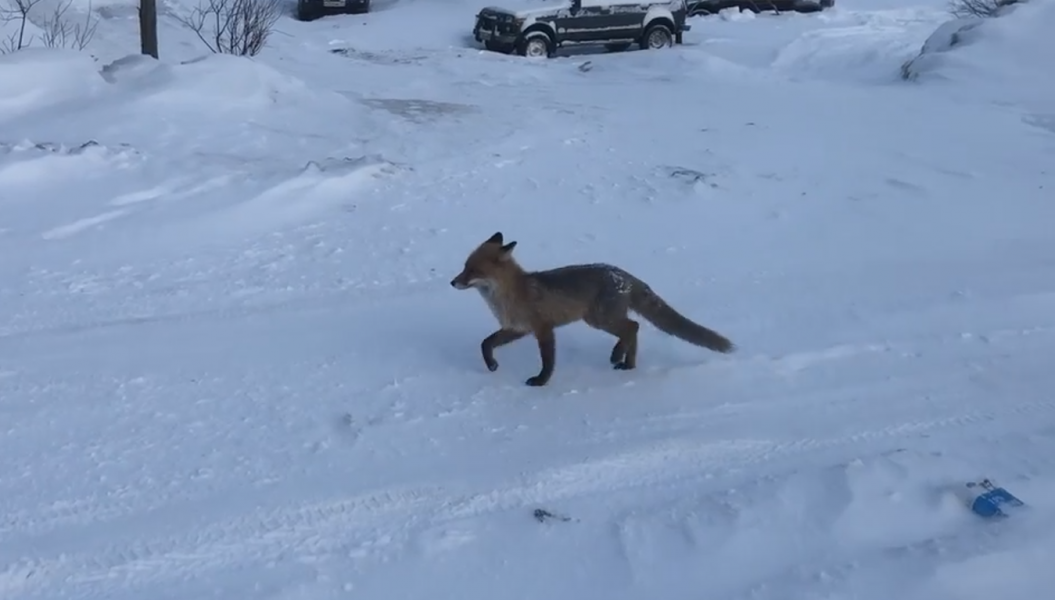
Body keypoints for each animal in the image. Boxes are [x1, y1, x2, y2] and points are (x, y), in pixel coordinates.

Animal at [449, 231, 736, 387]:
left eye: (473, 271)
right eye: (464, 267)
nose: (452, 282)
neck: (513, 294)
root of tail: (625, 275)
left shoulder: (543, 329)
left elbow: (548, 361)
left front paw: (541, 382)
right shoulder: (516, 328)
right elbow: (485, 343)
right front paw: (492, 365)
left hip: (598, 319)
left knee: (633, 327)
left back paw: (618, 356)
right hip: (600, 319)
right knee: (633, 328)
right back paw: (628, 364)